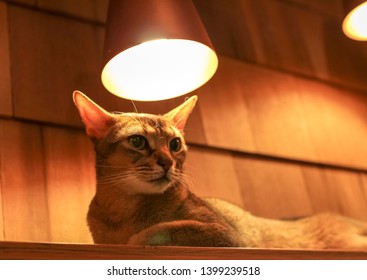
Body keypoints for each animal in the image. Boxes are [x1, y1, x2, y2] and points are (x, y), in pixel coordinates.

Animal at [72, 90, 367, 249]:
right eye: (137, 141)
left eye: (175, 144)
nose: (167, 162)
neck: (123, 210)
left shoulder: (227, 234)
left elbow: (162, 229)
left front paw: (133, 240)